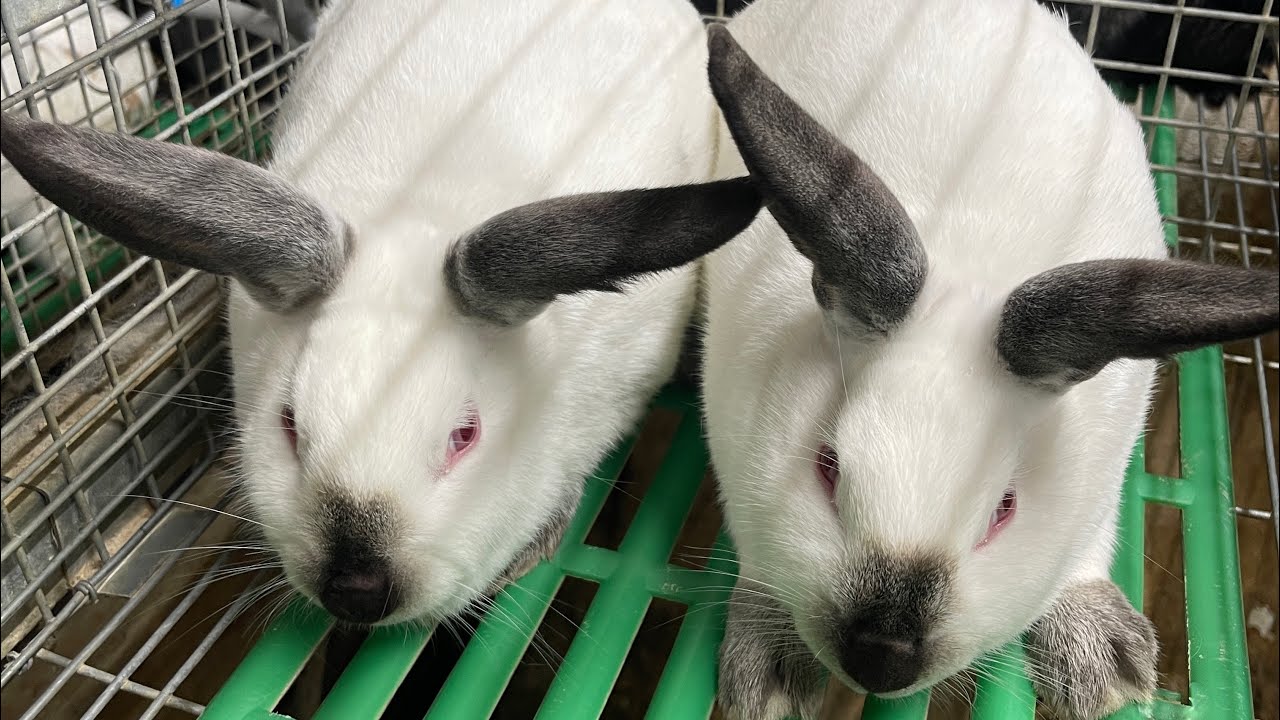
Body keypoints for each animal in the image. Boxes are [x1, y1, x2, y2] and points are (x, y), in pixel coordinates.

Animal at [695, 2, 1279, 719]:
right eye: (827, 469)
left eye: (1004, 509)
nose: (880, 657)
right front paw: (772, 675)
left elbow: (1088, 548)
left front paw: (1106, 666)